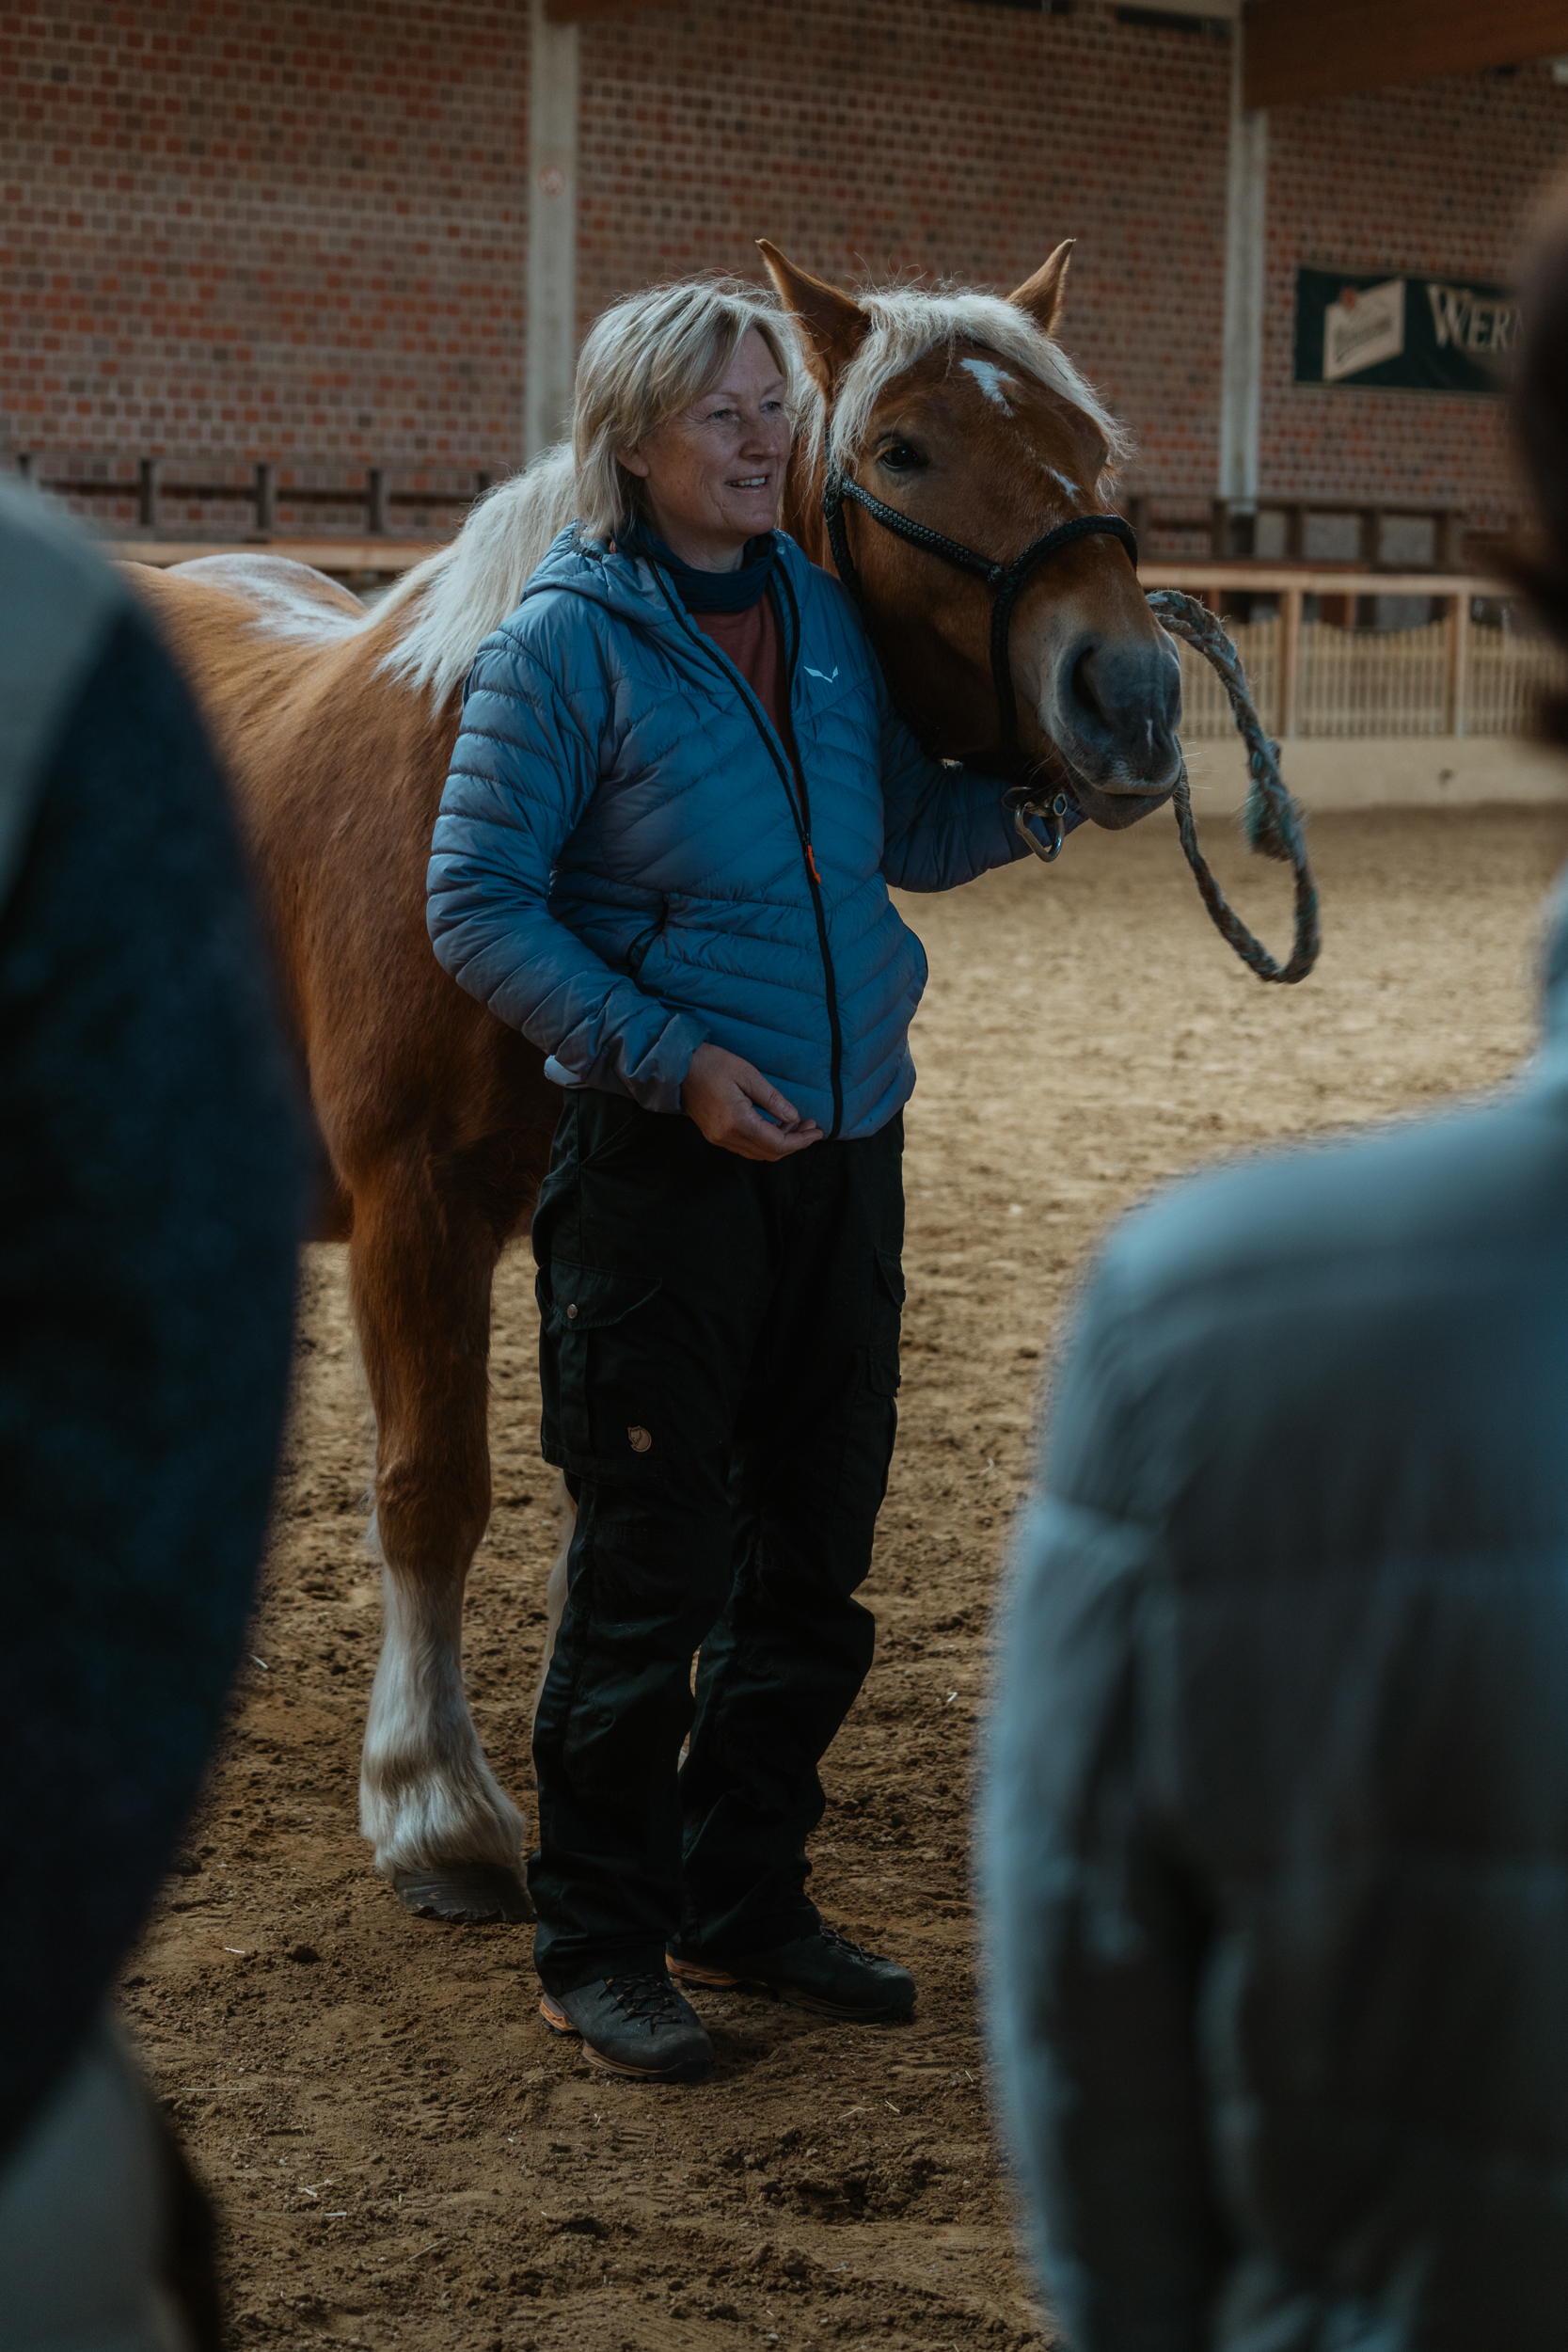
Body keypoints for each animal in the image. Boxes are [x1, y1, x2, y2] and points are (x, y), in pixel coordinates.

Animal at [130, 243, 1181, 1929]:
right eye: (901, 451)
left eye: (1089, 453)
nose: (1130, 698)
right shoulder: (412, 1215)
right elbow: (432, 1486)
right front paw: (434, 1804)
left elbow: (606, 1516)